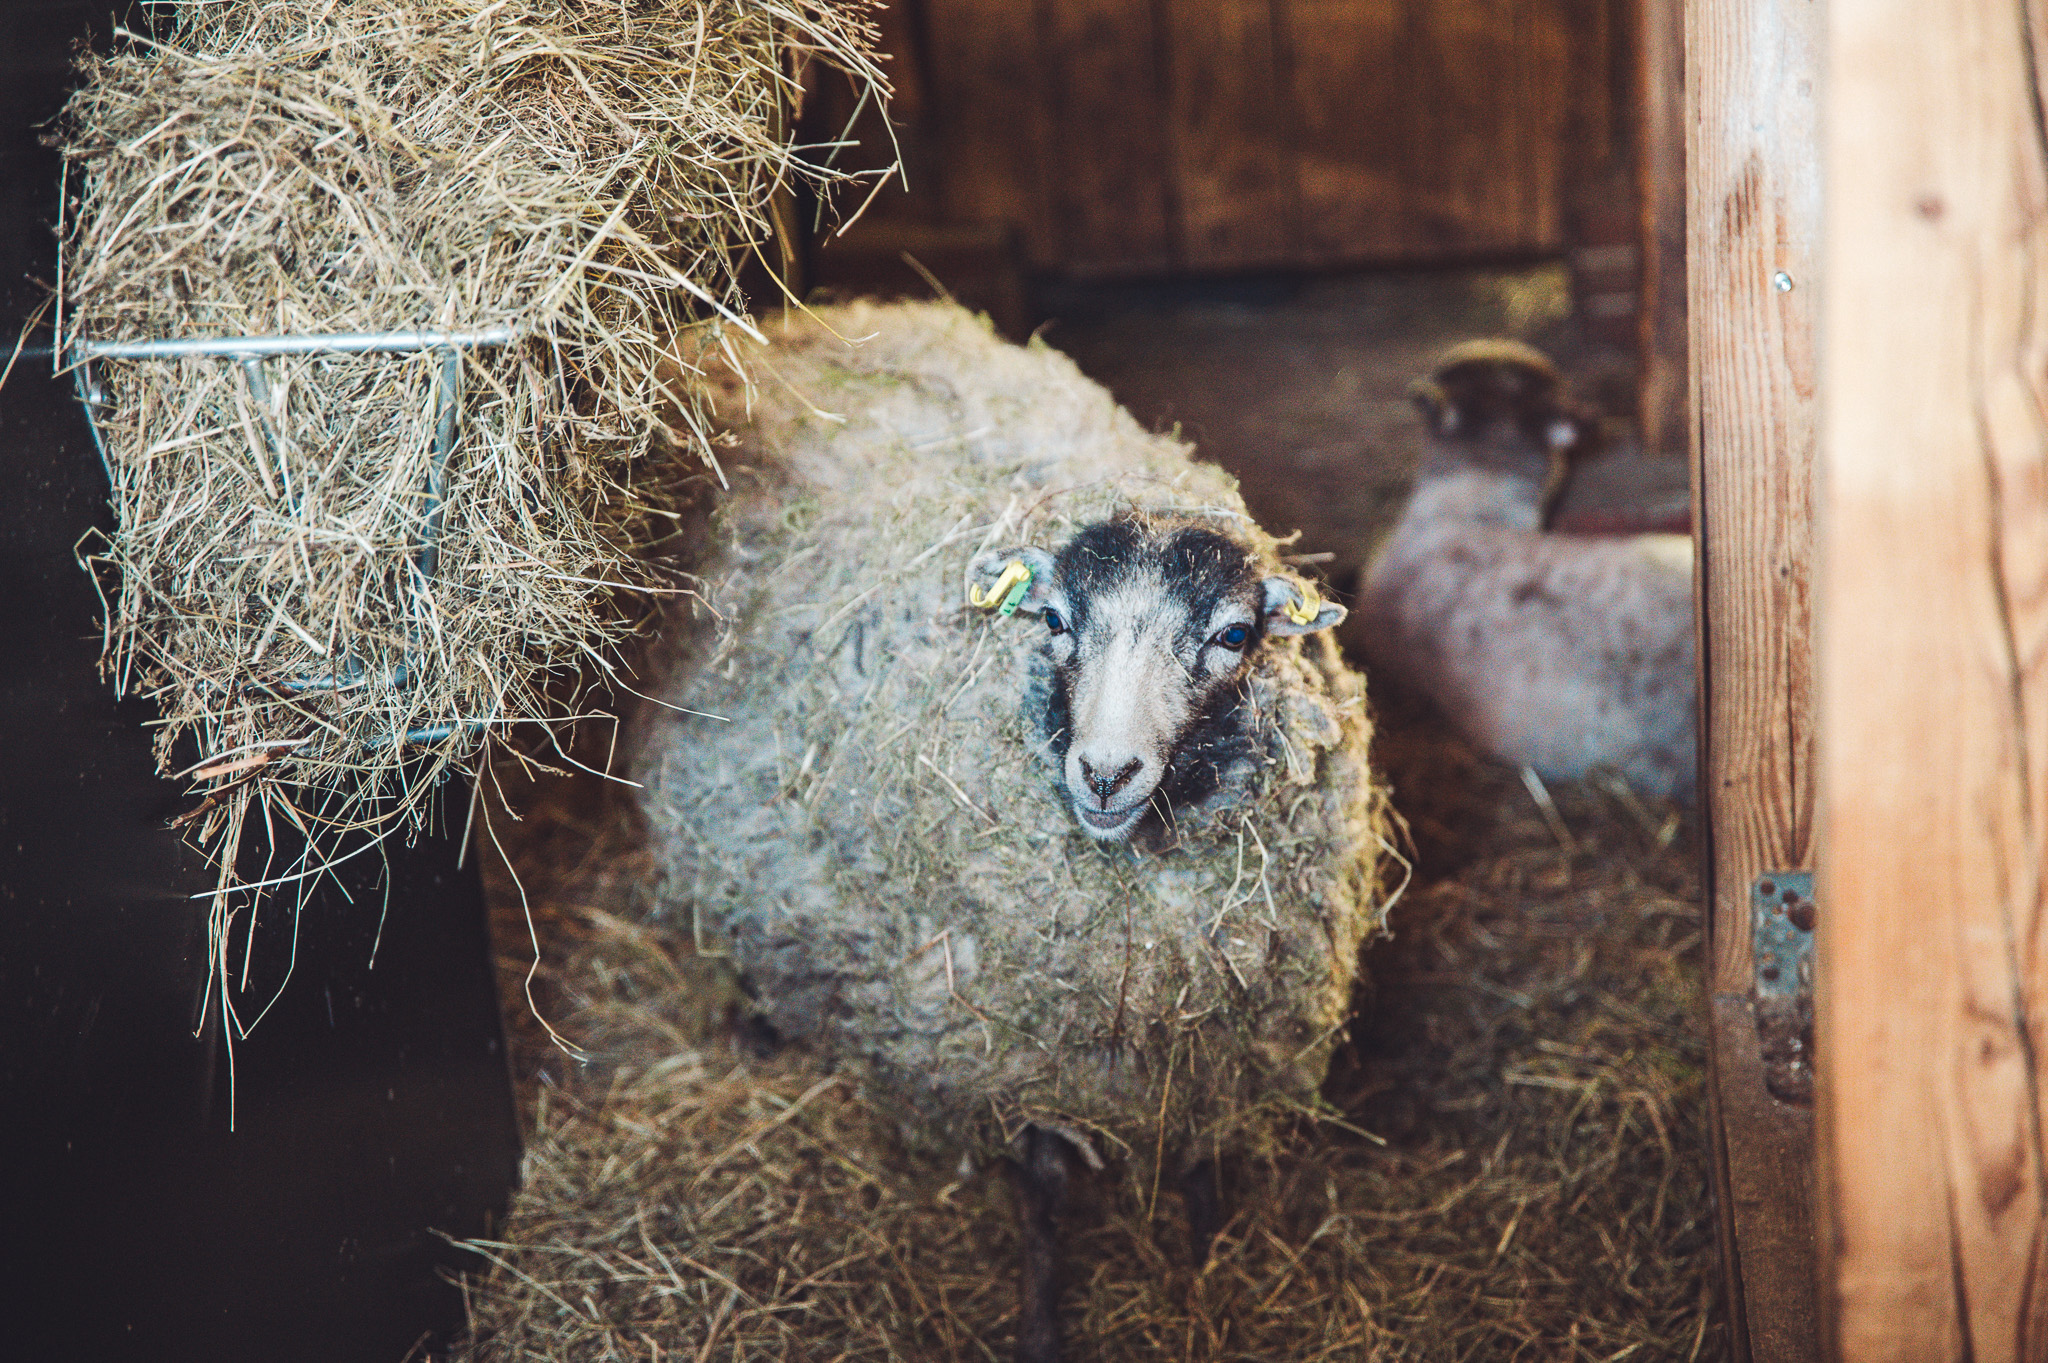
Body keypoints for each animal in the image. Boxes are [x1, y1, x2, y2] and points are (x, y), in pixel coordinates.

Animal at [631, 301, 1391, 1362]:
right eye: (1056, 621)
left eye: (1234, 636)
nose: (1105, 773)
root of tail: (784, 326)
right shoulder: (1007, 1055)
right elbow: (1042, 1197)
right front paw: (1041, 1323)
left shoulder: (1218, 1043)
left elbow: (1201, 1173)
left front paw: (1206, 1276)